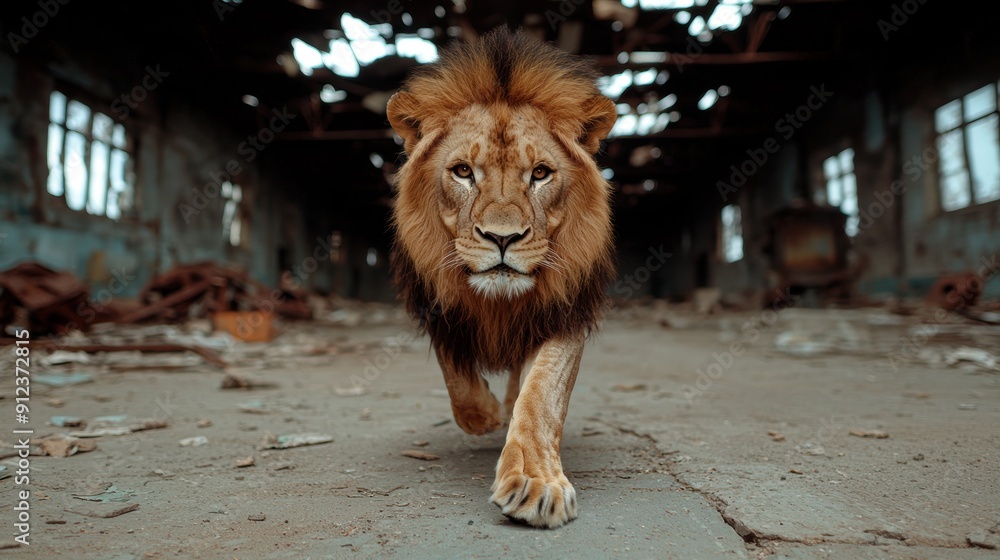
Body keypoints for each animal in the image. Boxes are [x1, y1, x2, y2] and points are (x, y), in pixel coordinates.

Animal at [386, 27, 617, 528]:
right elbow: (458, 380)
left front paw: (535, 483)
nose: (502, 238)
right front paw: (486, 416)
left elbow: (541, 396)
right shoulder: (439, 307)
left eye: (541, 174)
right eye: (463, 172)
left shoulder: (564, 311)